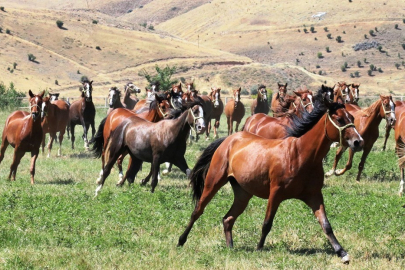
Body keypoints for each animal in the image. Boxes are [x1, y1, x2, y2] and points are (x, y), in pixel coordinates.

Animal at [177, 95, 362, 264]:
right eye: (339, 119)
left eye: (352, 118)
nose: (358, 142)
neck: (300, 154)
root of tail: (228, 140)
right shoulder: (275, 194)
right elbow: (267, 223)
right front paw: (259, 249)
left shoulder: (314, 196)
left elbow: (326, 225)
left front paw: (342, 253)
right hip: (213, 182)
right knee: (197, 211)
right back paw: (181, 241)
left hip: (243, 194)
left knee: (228, 219)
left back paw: (230, 247)